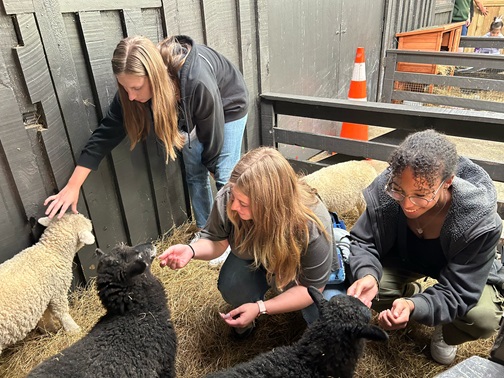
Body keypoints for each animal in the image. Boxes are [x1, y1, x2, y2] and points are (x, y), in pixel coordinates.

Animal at [0, 214, 94, 356]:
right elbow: (62, 313)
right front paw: (74, 330)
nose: (90, 221)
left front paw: (49, 330)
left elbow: (46, 317)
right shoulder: (58, 291)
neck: (51, 251)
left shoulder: (44, 297)